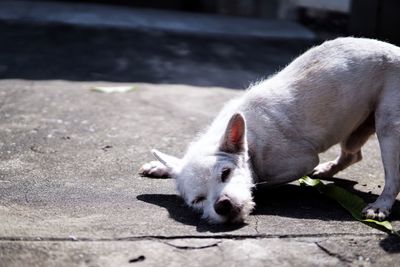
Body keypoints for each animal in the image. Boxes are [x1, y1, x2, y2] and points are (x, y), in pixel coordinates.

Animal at [139, 37, 398, 225]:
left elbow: (262, 181)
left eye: (225, 173)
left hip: (387, 126)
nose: (221, 204)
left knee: (392, 177)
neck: (250, 142)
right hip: (357, 127)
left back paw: (380, 206)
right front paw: (160, 166)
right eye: (198, 200)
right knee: (353, 154)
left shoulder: (302, 161)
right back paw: (328, 170)